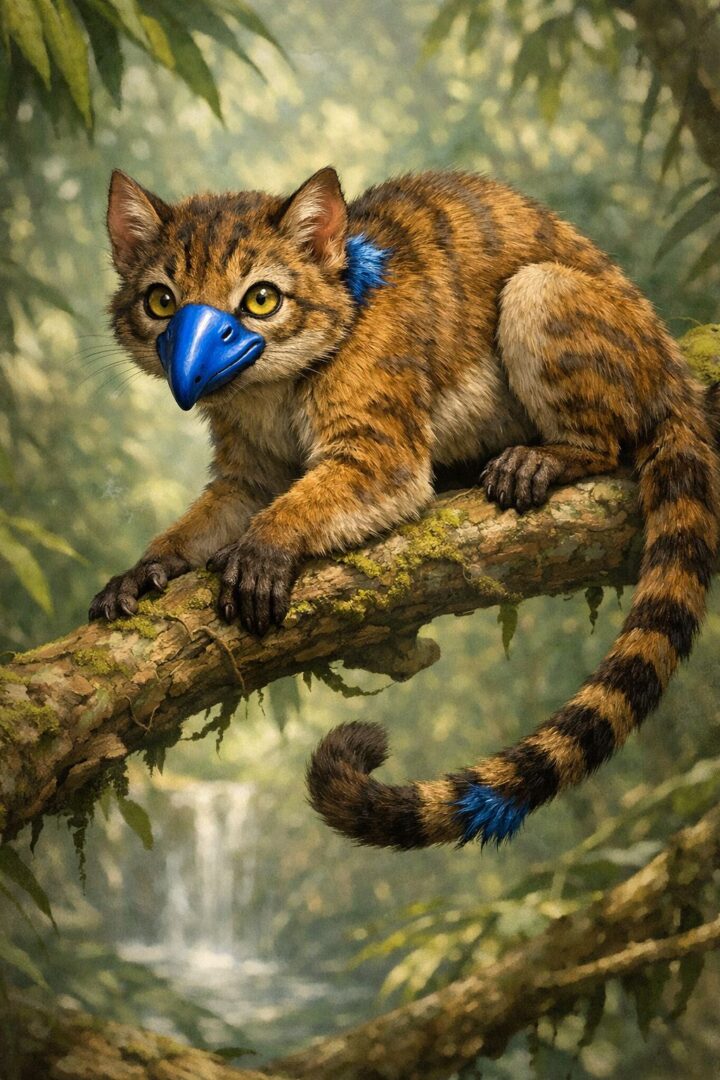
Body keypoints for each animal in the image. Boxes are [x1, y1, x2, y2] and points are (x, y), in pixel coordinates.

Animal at [90, 166, 719, 849]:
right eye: (162, 301)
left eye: (260, 299)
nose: (191, 366)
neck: (264, 393)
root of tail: (673, 368)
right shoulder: (245, 477)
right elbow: (198, 524)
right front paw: (142, 570)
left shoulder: (379, 453)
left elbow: (302, 503)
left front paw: (260, 551)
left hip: (541, 291)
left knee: (603, 441)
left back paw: (539, 461)